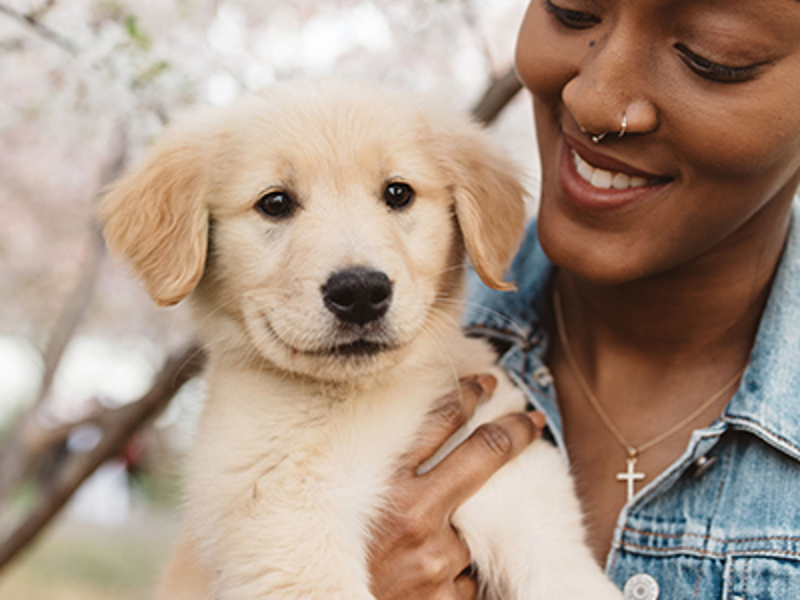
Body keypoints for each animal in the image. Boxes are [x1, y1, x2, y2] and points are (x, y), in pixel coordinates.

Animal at [100, 81, 620, 600]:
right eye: (275, 203)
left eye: (398, 193)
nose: (360, 292)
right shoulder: (284, 532)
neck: (362, 398)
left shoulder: (528, 509)